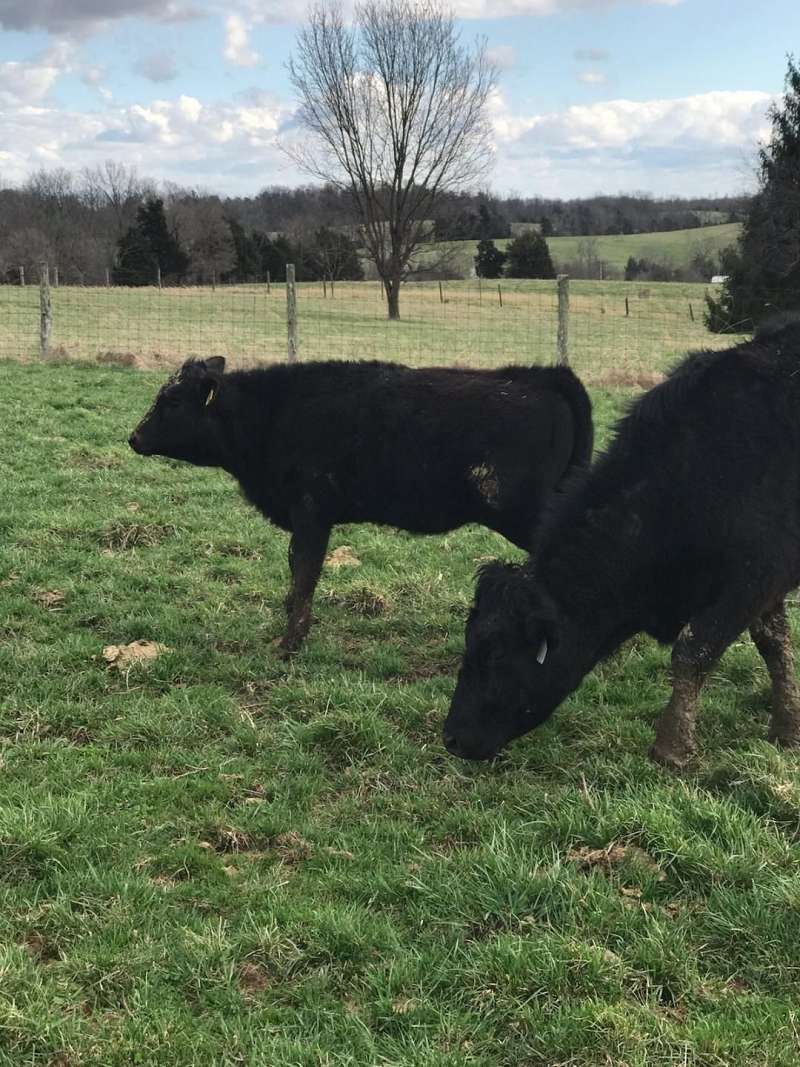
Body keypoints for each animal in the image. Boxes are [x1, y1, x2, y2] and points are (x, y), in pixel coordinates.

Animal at [129, 356, 593, 653]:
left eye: (172, 401)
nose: (133, 437)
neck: (270, 414)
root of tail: (539, 377)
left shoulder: (311, 513)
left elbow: (306, 572)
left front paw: (290, 642)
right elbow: (296, 570)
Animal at [443, 318, 800, 768]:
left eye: (496, 653)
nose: (450, 737)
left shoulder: (754, 577)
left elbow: (695, 649)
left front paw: (671, 748)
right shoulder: (765, 586)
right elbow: (775, 646)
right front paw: (787, 729)